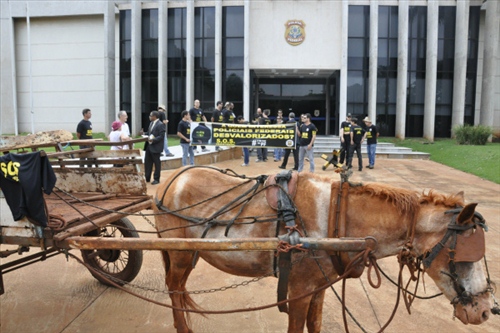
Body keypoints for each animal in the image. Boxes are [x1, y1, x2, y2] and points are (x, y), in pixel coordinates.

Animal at [154, 166, 494, 332]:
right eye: (466, 257)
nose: (485, 310)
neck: (336, 217)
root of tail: (169, 182)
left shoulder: (317, 287)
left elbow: (315, 325)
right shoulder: (298, 288)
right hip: (180, 253)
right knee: (174, 288)